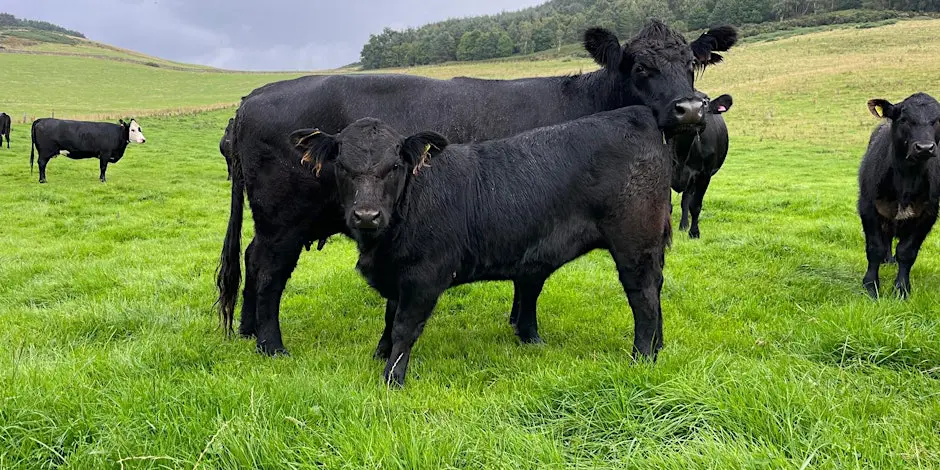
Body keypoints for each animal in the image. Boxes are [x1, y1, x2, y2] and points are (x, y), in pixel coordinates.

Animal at [289, 98, 696, 385]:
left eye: (395, 166)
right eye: (343, 167)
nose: (366, 215)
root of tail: (638, 114)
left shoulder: (425, 276)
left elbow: (405, 325)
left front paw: (392, 377)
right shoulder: (397, 275)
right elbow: (389, 318)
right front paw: (379, 354)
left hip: (634, 243)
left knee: (643, 297)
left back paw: (642, 358)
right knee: (656, 290)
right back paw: (658, 348)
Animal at [672, 92, 733, 238]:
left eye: (705, 103)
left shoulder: (704, 175)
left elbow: (695, 205)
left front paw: (694, 233)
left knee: (686, 200)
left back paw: (684, 225)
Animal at [858, 92, 940, 299]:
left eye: (938, 120)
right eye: (904, 119)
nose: (925, 147)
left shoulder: (928, 214)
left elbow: (907, 252)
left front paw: (901, 289)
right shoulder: (868, 207)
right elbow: (875, 248)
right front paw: (870, 286)